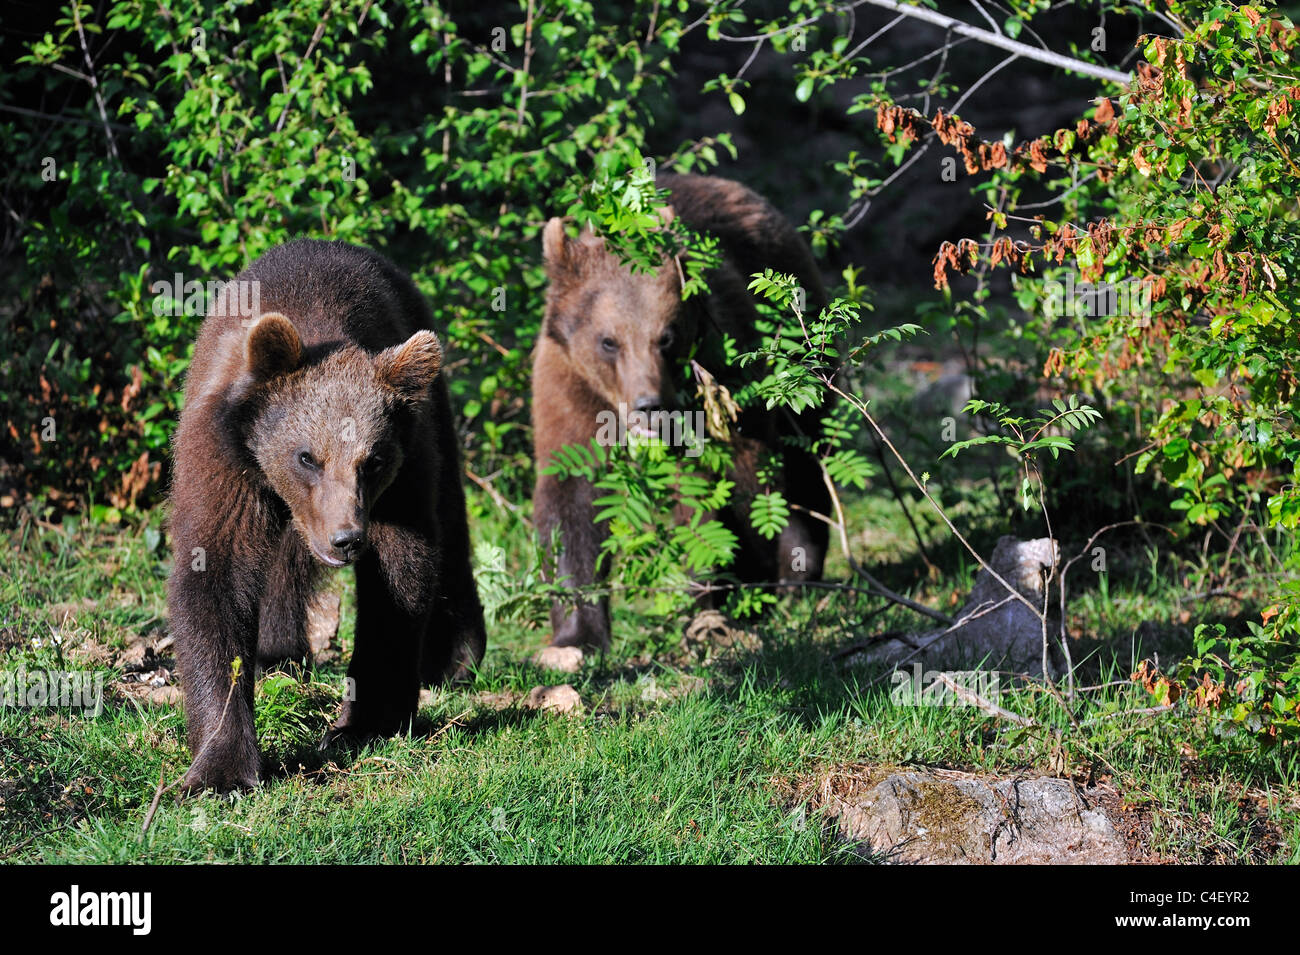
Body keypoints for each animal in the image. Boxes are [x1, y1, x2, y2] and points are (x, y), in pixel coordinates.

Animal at [165, 240, 486, 800]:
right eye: (306, 456)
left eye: (372, 459)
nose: (346, 540)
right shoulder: (226, 458)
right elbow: (215, 572)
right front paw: (221, 767)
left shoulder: (401, 475)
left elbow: (402, 574)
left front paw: (364, 720)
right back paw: (277, 653)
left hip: (433, 413)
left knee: (450, 514)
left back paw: (454, 655)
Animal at [530, 174, 826, 649]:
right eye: (608, 341)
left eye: (666, 336)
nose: (650, 406)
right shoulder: (569, 387)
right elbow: (571, 499)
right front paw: (576, 635)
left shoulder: (725, 372)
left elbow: (719, 491)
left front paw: (711, 600)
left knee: (802, 459)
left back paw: (796, 572)